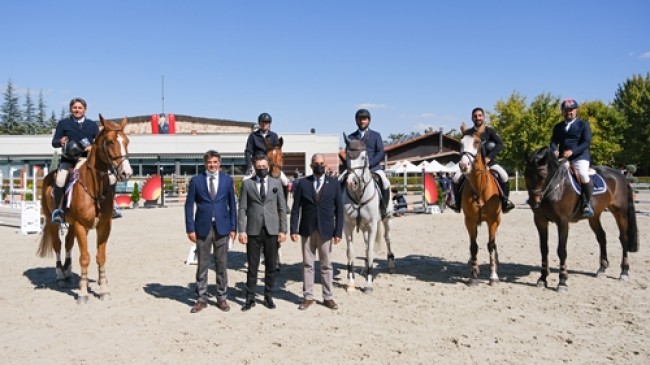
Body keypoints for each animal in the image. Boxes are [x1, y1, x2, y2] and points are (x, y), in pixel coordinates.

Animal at [37, 115, 133, 302]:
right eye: (110, 142)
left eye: (127, 141)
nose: (126, 173)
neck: (94, 187)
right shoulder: (81, 226)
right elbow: (84, 258)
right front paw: (82, 292)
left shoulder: (103, 226)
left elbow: (100, 257)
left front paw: (103, 289)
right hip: (53, 223)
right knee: (58, 245)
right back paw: (60, 276)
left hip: (72, 224)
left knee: (68, 243)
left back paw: (68, 273)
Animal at [342, 134, 392, 292]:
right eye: (347, 156)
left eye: (364, 157)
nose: (352, 183)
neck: (359, 195)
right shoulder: (348, 225)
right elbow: (350, 252)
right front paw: (351, 282)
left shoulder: (372, 225)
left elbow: (370, 252)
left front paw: (369, 284)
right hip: (364, 227)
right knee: (365, 244)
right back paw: (364, 269)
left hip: (386, 220)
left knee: (387, 238)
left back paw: (391, 263)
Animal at [456, 123, 502, 286]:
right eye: (460, 143)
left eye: (477, 142)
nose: (463, 165)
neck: (479, 187)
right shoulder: (470, 221)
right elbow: (474, 246)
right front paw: (473, 275)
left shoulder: (493, 221)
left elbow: (490, 245)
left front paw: (493, 276)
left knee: (493, 244)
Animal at [524, 146, 636, 292]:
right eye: (526, 175)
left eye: (542, 174)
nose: (533, 202)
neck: (555, 186)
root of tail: (620, 175)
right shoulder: (540, 221)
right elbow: (544, 249)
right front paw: (542, 279)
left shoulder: (563, 221)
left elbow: (561, 250)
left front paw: (562, 281)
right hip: (594, 216)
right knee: (602, 237)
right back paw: (602, 269)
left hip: (620, 212)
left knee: (623, 239)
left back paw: (624, 272)